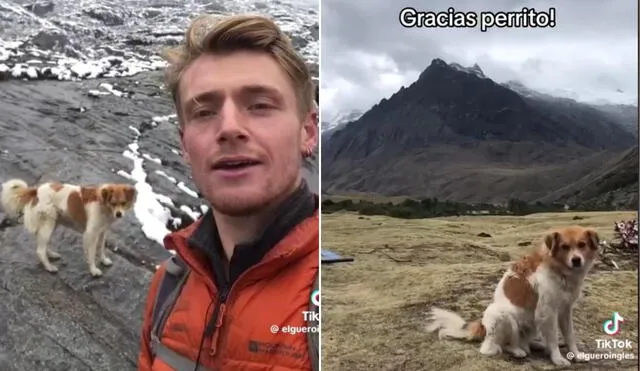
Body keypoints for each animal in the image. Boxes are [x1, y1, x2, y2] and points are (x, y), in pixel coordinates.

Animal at [0, 179, 136, 278]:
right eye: (113, 203)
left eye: (123, 203)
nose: (119, 214)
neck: (103, 204)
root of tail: (36, 190)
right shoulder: (90, 234)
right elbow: (92, 254)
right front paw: (93, 270)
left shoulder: (102, 231)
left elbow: (101, 248)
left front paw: (104, 260)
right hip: (49, 223)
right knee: (40, 250)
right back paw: (49, 267)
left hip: (54, 222)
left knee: (43, 244)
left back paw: (51, 255)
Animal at [424, 227, 600, 366]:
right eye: (564, 247)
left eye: (582, 245)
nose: (576, 260)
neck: (559, 270)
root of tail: (483, 327)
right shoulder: (547, 311)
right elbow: (553, 338)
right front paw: (557, 358)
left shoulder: (565, 309)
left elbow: (570, 336)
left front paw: (576, 355)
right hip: (502, 315)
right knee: (496, 346)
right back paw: (516, 350)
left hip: (530, 324)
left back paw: (536, 344)